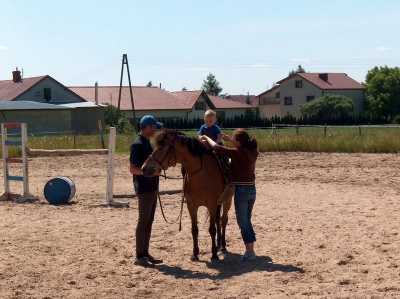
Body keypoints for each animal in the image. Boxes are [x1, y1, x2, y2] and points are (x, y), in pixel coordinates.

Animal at [141, 130, 233, 262]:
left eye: (161, 148)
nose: (144, 168)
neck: (201, 174)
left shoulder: (211, 205)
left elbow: (212, 229)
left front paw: (214, 254)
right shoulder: (191, 205)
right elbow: (194, 229)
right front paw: (195, 253)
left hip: (227, 201)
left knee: (223, 220)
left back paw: (223, 245)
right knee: (218, 220)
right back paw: (219, 243)